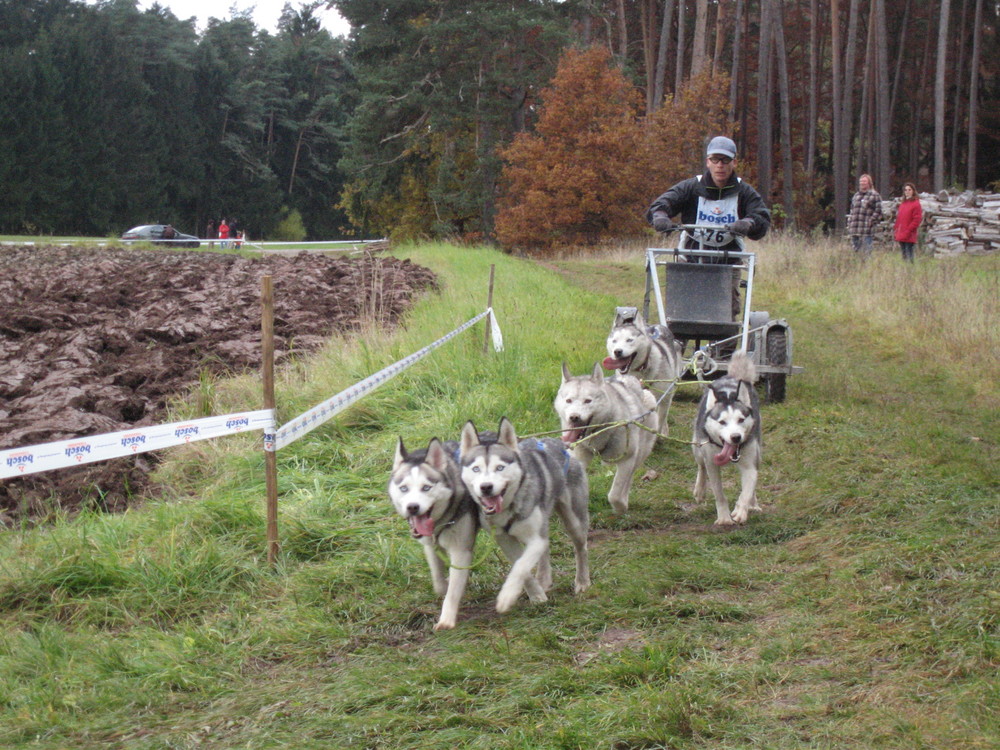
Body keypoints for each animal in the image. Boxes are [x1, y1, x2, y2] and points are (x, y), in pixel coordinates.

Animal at [386, 438, 480, 632]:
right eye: (404, 488)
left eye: (426, 488)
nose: (413, 507)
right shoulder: (430, 546)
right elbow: (439, 581)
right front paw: (444, 584)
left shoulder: (460, 551)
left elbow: (452, 592)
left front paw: (446, 620)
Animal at [462, 420, 592, 612]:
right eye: (476, 469)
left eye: (500, 467)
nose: (486, 487)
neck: (509, 507)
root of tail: (561, 444)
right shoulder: (504, 539)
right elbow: (521, 566)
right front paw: (536, 595)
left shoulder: (534, 536)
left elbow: (522, 567)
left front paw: (507, 597)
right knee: (545, 549)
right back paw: (544, 580)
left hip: (573, 521)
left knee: (580, 549)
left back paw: (582, 581)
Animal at [556, 362, 656, 516]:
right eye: (568, 400)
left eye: (588, 401)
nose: (574, 417)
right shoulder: (579, 458)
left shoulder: (628, 459)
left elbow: (615, 494)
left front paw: (620, 508)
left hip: (640, 453)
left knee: (629, 478)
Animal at [604, 308, 684, 438]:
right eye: (614, 341)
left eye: (629, 340)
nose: (617, 351)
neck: (640, 372)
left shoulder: (664, 398)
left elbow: (660, 419)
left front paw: (659, 435)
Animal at [692, 354, 760, 524]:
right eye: (722, 422)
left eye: (741, 419)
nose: (736, 437)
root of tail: (732, 377)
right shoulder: (712, 464)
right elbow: (719, 494)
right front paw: (724, 518)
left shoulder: (750, 464)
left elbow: (747, 491)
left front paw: (741, 510)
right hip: (697, 447)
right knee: (701, 466)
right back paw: (700, 489)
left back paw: (753, 503)